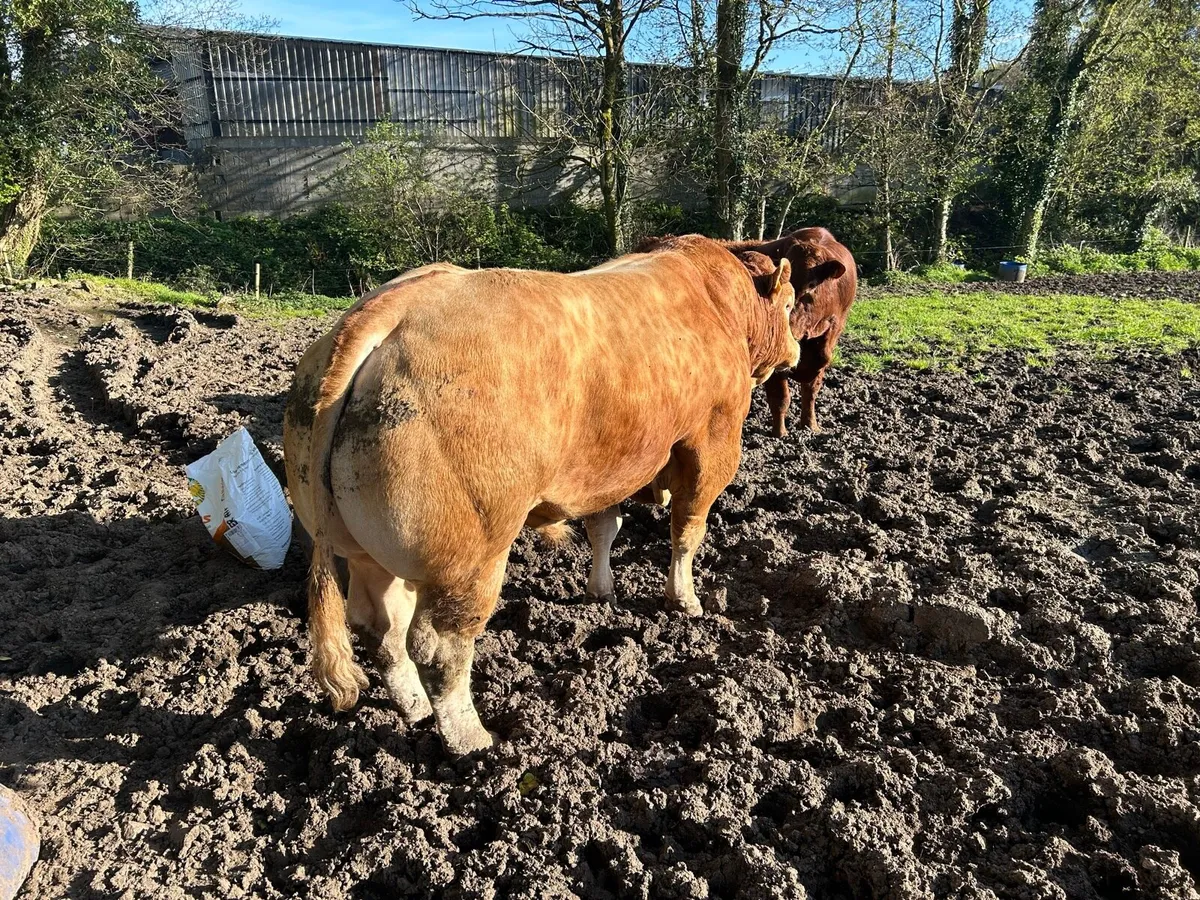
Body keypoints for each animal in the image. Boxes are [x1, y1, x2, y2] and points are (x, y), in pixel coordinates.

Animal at [283, 235, 799, 754]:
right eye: (791, 304)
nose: (797, 350)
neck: (717, 301)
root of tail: (385, 309)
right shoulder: (713, 441)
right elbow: (688, 531)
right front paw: (685, 601)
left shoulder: (605, 466)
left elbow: (604, 527)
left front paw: (601, 590)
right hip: (471, 557)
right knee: (439, 646)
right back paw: (472, 738)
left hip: (367, 552)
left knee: (380, 629)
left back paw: (416, 710)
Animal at [724, 227, 857, 436]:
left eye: (811, 286)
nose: (789, 335)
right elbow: (780, 399)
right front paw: (780, 434)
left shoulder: (824, 351)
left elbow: (810, 392)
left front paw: (811, 426)